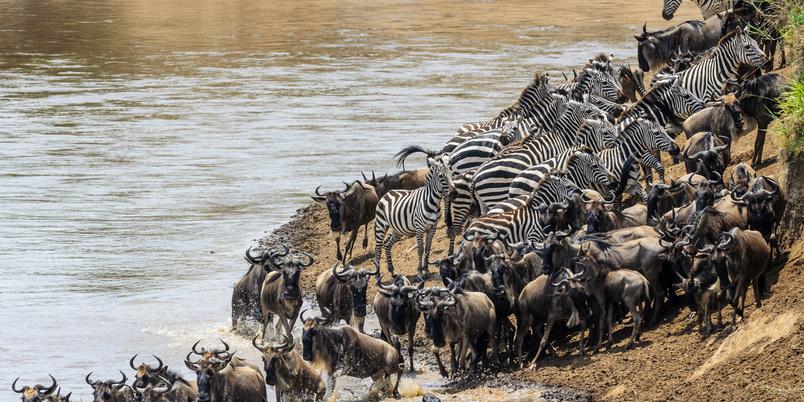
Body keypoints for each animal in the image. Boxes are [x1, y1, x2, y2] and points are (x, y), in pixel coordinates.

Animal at [374, 146, 452, 277]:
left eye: (452, 173)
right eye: (441, 176)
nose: (453, 192)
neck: (433, 201)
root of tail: (388, 193)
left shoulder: (433, 227)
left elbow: (428, 247)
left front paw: (426, 269)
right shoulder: (419, 228)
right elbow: (420, 249)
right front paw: (420, 271)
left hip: (397, 230)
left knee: (387, 244)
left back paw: (392, 270)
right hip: (380, 225)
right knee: (378, 248)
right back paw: (377, 275)